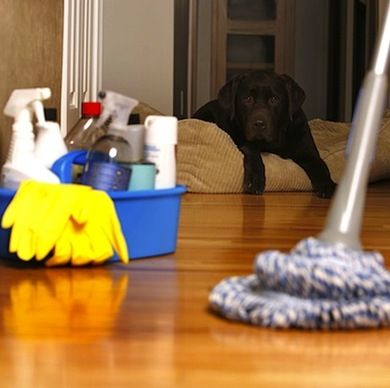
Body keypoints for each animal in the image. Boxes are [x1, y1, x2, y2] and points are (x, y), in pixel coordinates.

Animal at [192, 69, 336, 197]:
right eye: (248, 99)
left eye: (274, 99)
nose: (259, 124)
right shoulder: (241, 140)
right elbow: (252, 150)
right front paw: (255, 179)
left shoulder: (308, 153)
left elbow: (321, 166)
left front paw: (328, 186)